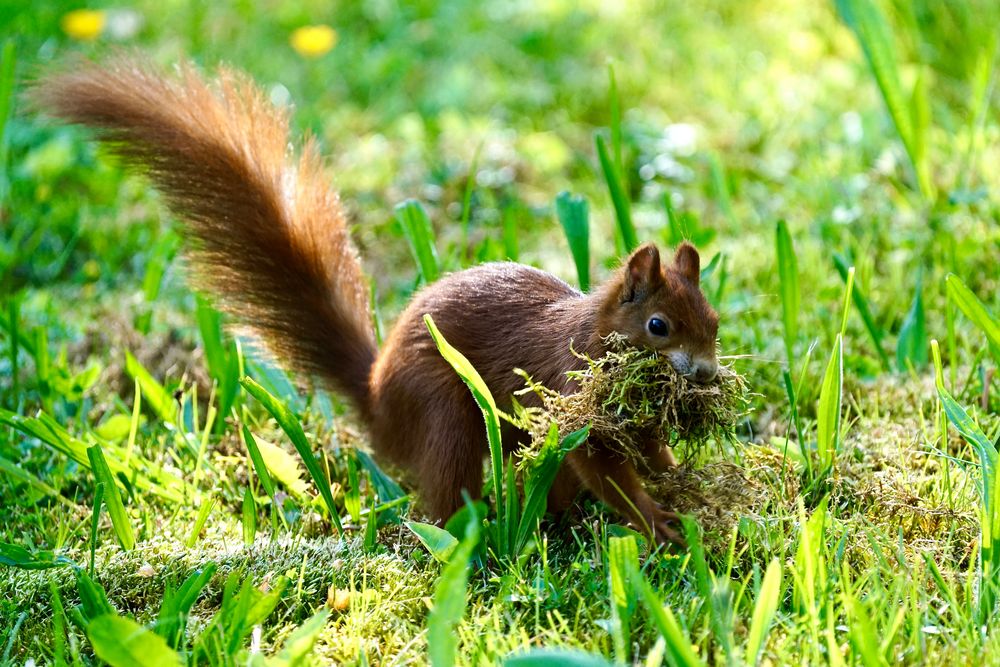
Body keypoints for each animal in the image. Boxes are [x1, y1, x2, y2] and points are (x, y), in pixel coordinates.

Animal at [33, 57, 720, 548]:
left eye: (714, 321)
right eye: (658, 325)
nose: (708, 374)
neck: (595, 335)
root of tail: (379, 404)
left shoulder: (633, 416)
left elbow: (645, 449)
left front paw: (675, 475)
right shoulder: (572, 394)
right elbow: (599, 464)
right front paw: (657, 519)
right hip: (445, 414)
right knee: (447, 495)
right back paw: (476, 531)